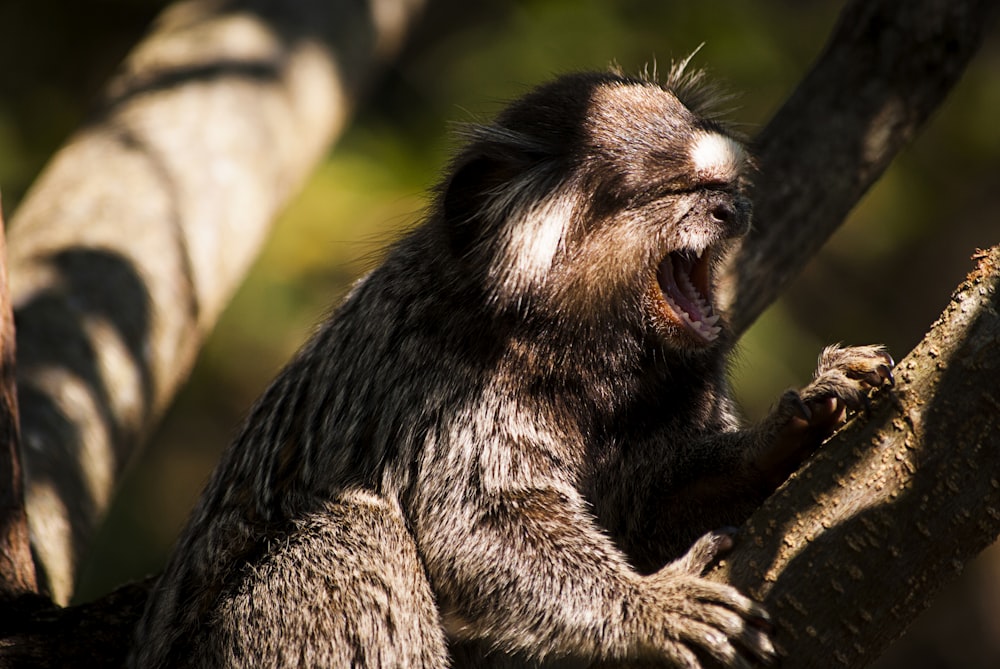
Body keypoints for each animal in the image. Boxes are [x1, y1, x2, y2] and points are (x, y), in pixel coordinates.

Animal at [131, 65, 892, 664]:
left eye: (720, 181)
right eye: (672, 191)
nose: (731, 208)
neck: (577, 348)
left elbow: (644, 506)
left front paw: (790, 428)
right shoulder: (447, 383)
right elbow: (481, 524)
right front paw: (648, 608)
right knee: (359, 528)